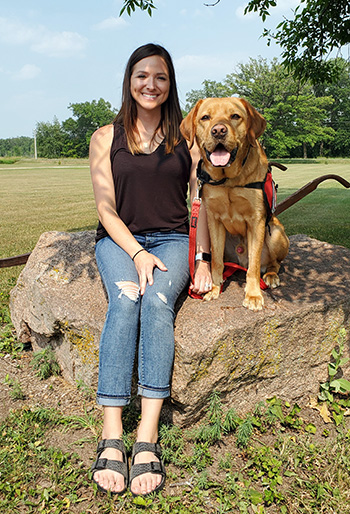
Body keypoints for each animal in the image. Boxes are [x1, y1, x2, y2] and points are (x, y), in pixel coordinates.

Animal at [180, 97, 290, 310]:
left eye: (235, 116)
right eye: (205, 117)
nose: (218, 131)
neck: (228, 180)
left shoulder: (256, 221)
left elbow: (254, 266)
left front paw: (253, 295)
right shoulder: (214, 220)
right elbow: (215, 261)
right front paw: (214, 288)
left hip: (275, 232)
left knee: (274, 263)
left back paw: (271, 275)